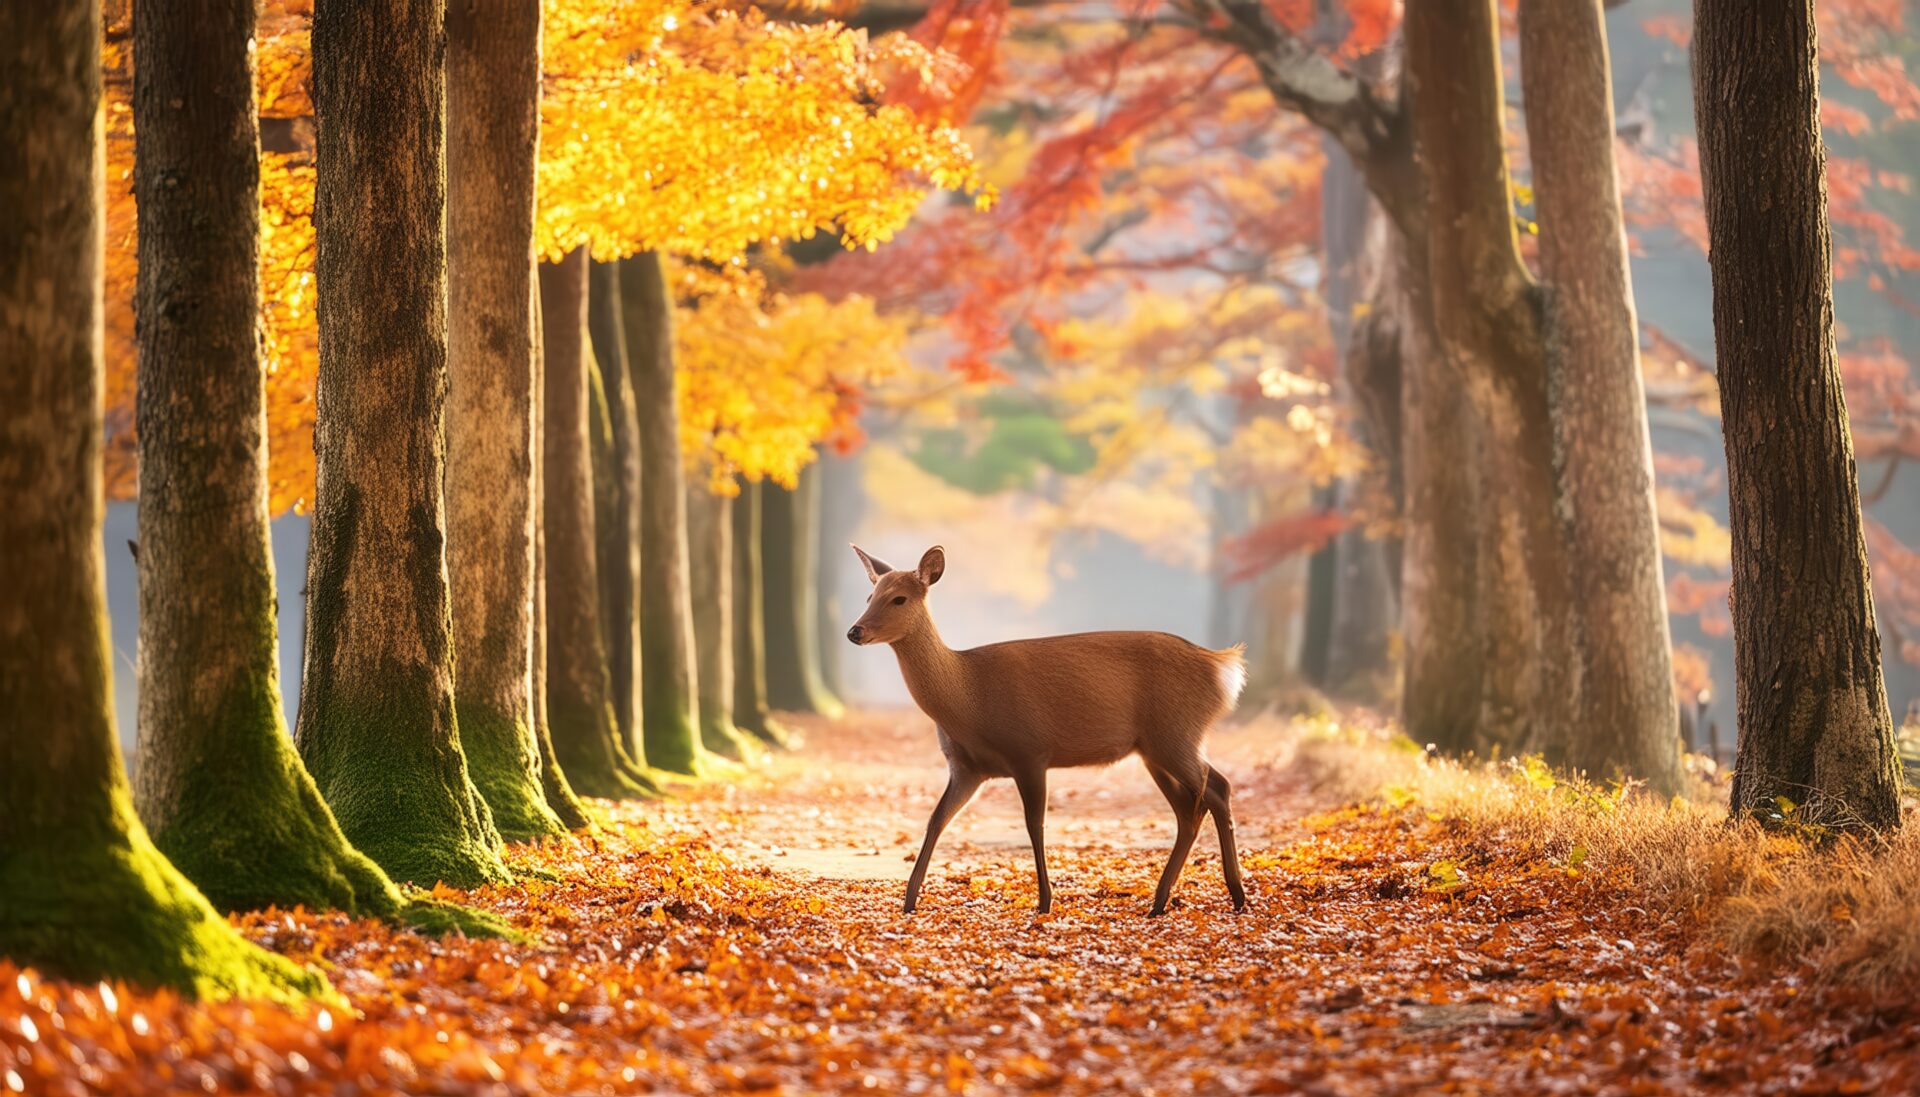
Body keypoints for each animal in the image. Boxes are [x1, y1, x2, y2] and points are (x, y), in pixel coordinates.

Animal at [845, 544, 1248, 918]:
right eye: (869, 596)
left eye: (899, 598)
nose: (854, 631)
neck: (967, 696)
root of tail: (1223, 666)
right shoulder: (966, 768)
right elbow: (936, 821)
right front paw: (909, 901)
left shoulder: (1030, 751)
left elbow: (1034, 824)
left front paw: (1044, 902)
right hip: (1155, 748)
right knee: (1192, 805)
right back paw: (1163, 901)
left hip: (1176, 733)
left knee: (1216, 789)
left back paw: (1236, 895)